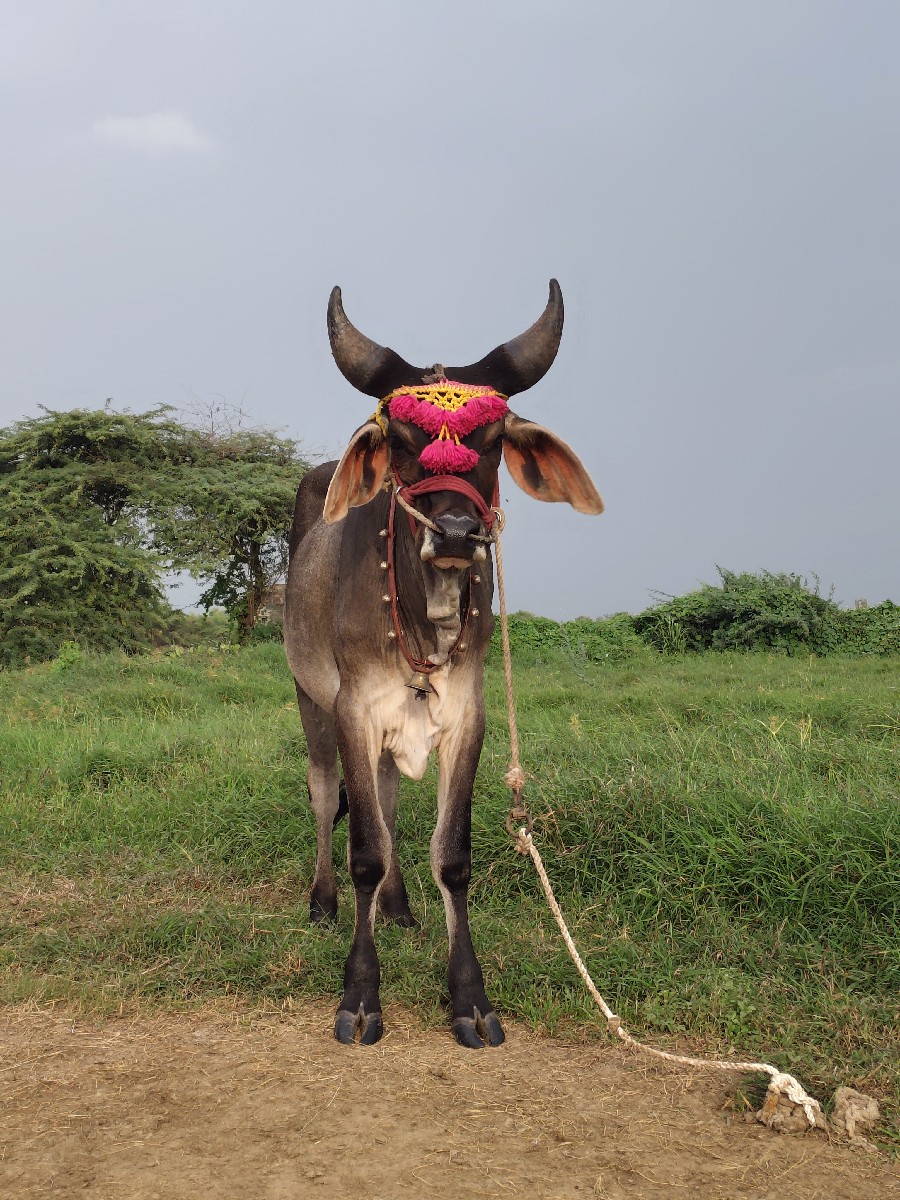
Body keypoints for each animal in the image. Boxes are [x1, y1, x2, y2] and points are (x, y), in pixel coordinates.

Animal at [284, 281, 603, 1048]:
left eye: (491, 440)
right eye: (402, 440)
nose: (457, 533)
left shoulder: (466, 713)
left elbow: (450, 855)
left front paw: (469, 997)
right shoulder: (352, 707)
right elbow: (364, 849)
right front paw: (360, 994)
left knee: (389, 801)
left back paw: (397, 908)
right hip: (310, 699)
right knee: (325, 796)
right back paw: (324, 901)